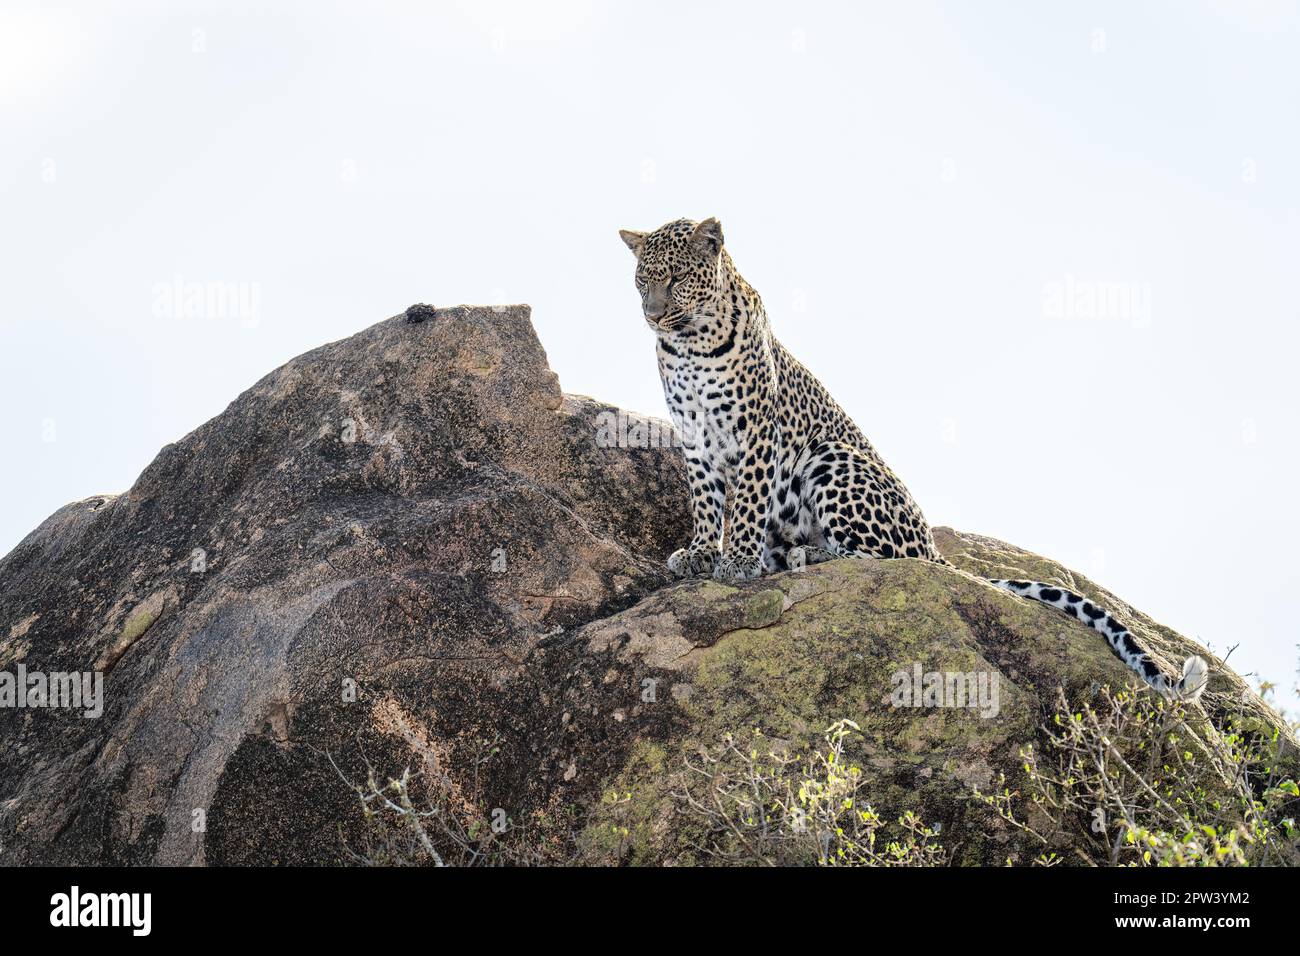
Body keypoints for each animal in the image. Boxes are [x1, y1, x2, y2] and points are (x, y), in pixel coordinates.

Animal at [618, 216, 1208, 701]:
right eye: (642, 282)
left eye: (677, 278)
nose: (652, 315)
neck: (689, 344)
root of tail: (933, 545)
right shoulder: (694, 434)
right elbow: (705, 501)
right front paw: (700, 553)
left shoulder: (758, 432)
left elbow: (745, 503)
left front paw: (737, 561)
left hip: (832, 456)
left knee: (881, 561)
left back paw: (797, 556)